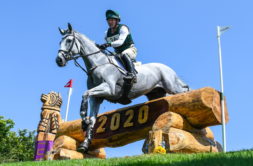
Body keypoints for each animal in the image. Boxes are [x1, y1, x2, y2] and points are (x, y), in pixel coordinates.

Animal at [55, 23, 190, 153]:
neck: (99, 64)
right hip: (156, 93)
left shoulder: (109, 89)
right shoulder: (97, 98)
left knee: (184, 91)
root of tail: (167, 67)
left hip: (171, 86)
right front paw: (85, 141)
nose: (59, 60)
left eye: (69, 40)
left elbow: (85, 93)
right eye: (60, 41)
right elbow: (92, 118)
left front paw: (84, 116)